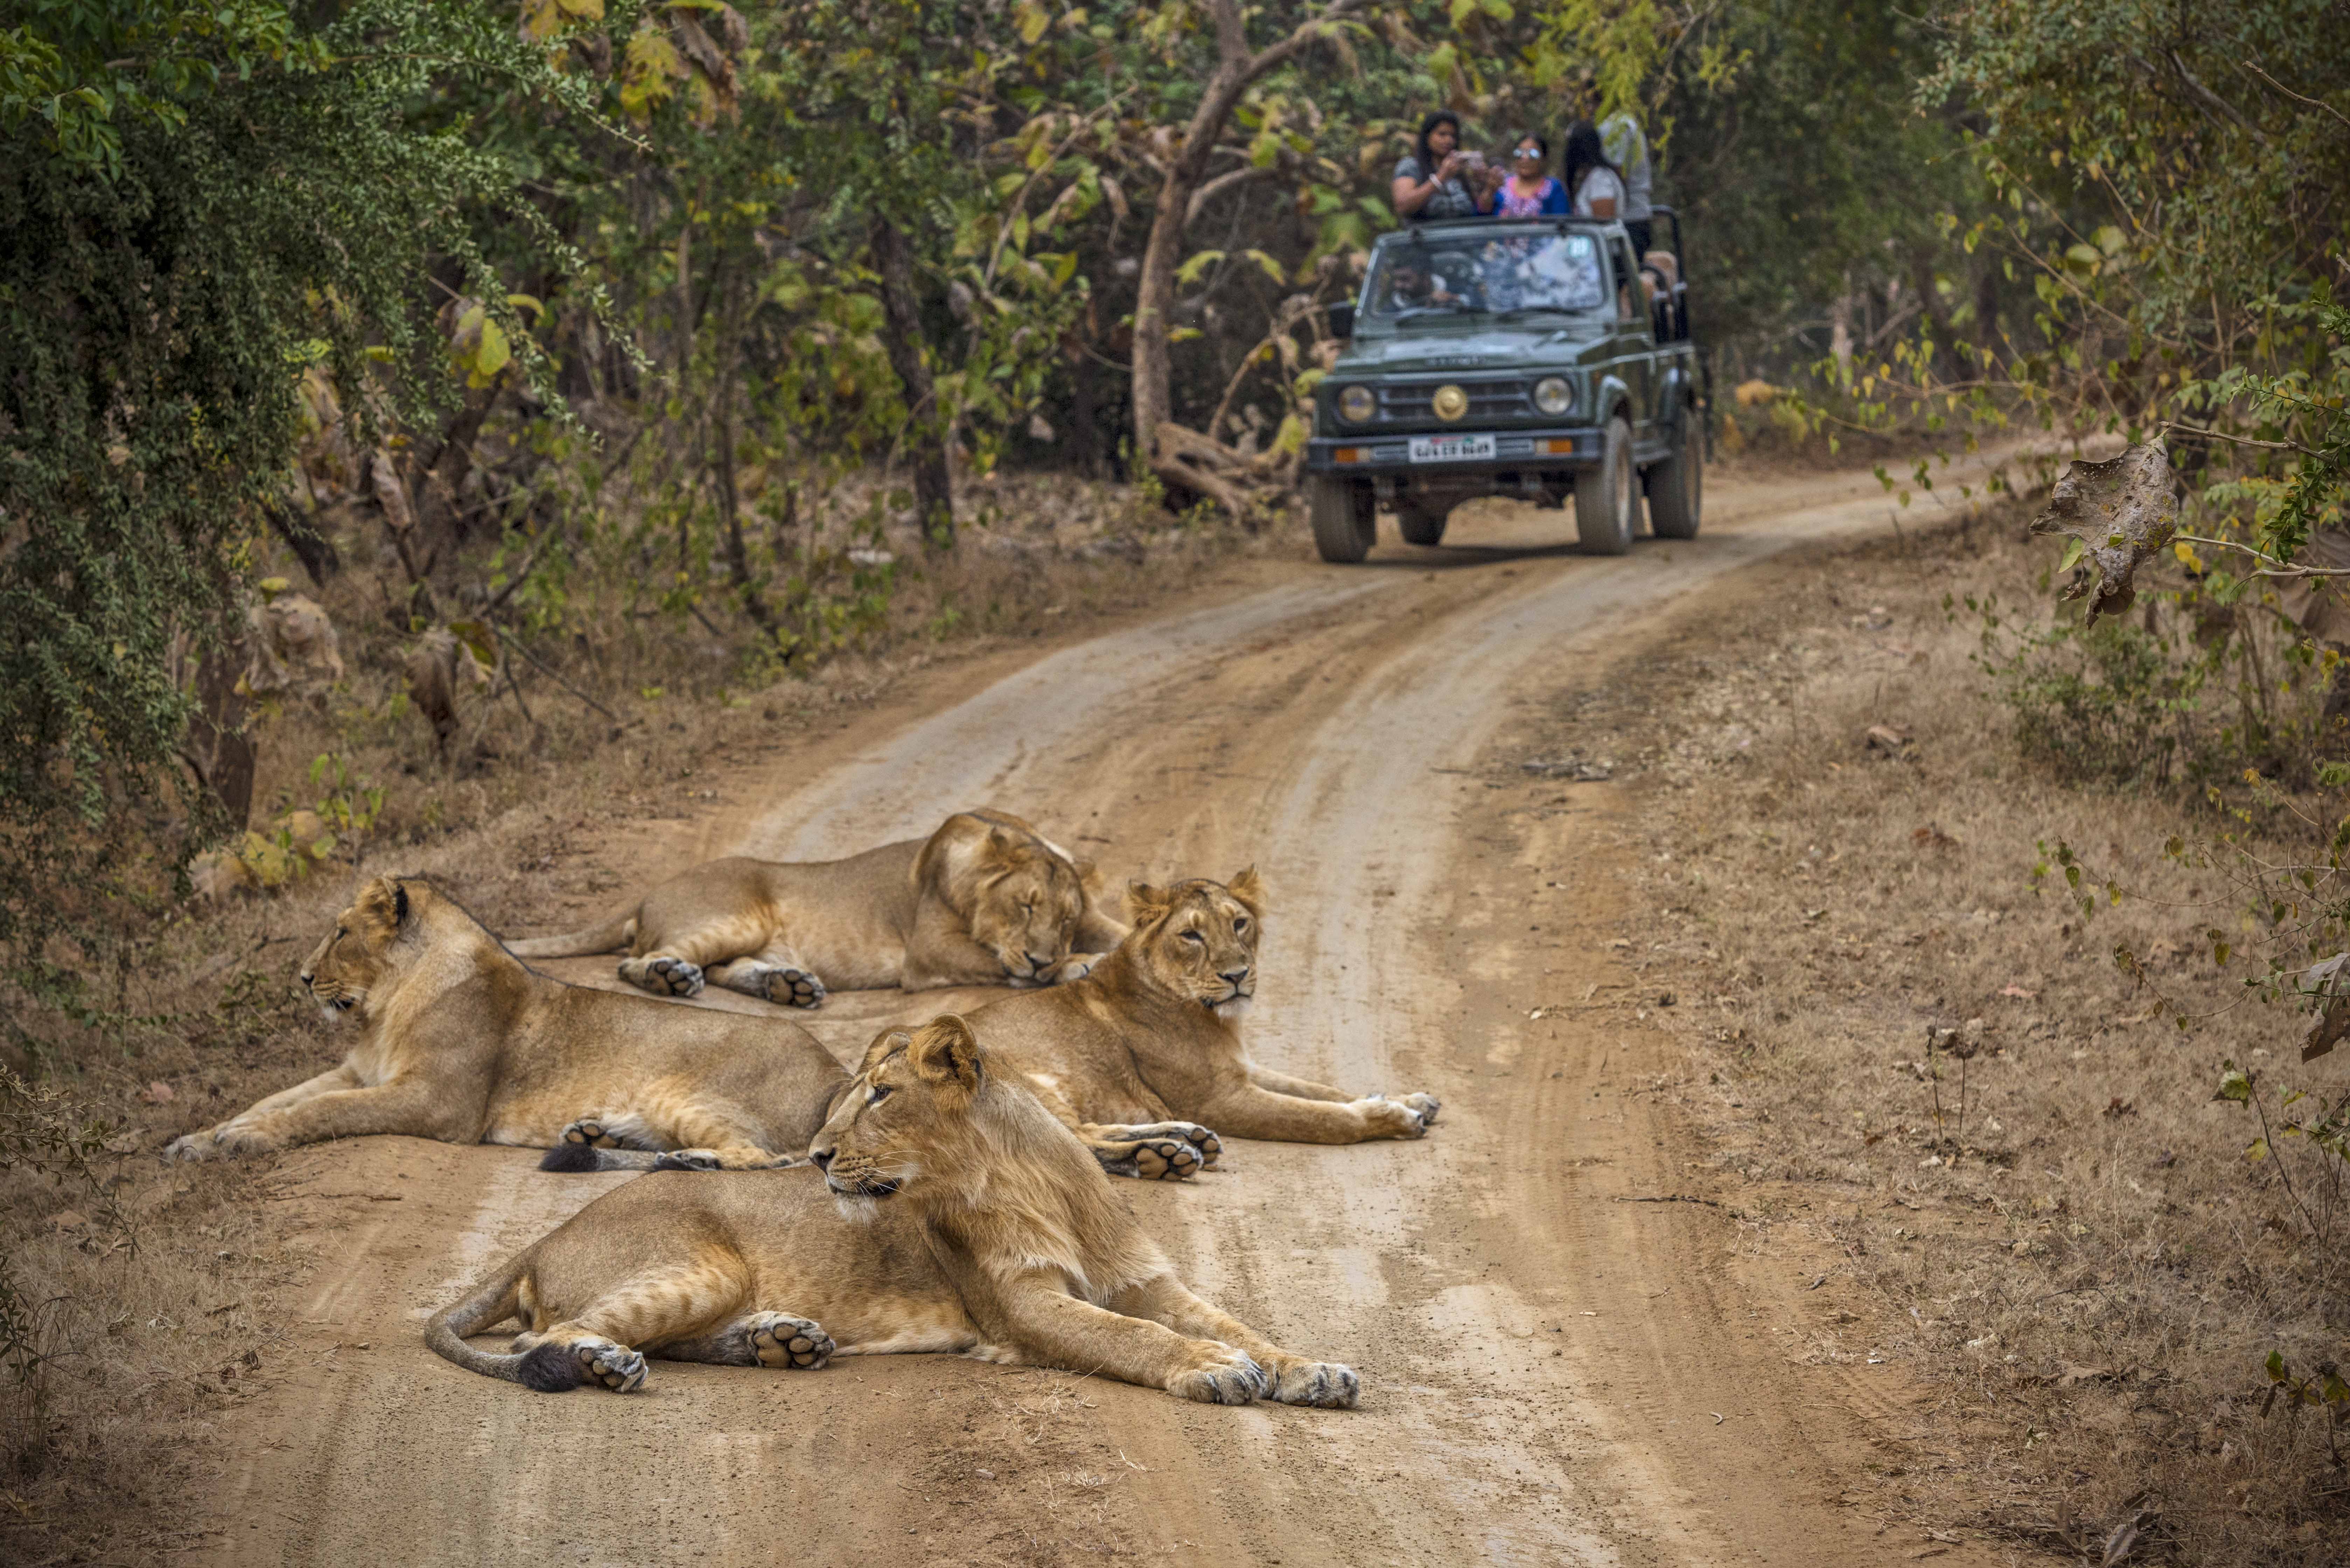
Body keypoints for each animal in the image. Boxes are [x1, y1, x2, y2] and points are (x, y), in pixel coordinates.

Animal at [166, 879, 850, 1171]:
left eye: (340, 932)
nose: (304, 978)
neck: (387, 1006)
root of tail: (836, 1071)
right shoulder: (356, 1071)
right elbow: (272, 1098)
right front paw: (201, 1138)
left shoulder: (436, 1102)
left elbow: (318, 1111)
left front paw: (242, 1142)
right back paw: (598, 1135)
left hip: (688, 1093)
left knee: (767, 1155)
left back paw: (684, 1159)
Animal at [423, 1020, 1363, 1410]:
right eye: (850, 1095)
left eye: (879, 1095)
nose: (815, 1155)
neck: (1033, 1181)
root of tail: (543, 1236)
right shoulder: (1023, 1306)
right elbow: (1134, 1337)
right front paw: (1213, 1368)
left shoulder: (1148, 1280)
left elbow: (1239, 1323)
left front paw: (1311, 1370)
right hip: (697, 1264)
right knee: (540, 1336)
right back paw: (611, 1364)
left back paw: (779, 1342)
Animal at [500, 804, 1123, 1011]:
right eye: (1025, 906)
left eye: (1065, 919)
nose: (1044, 957)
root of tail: (646, 893)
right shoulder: (927, 954)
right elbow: (1002, 963)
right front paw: (1074, 966)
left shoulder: (1095, 916)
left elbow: (1122, 930)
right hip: (734, 913)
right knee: (638, 961)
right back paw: (672, 978)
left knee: (722, 968)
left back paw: (789, 986)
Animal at [963, 870, 1438, 1175]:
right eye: (1190, 935)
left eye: (1240, 923)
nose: (1237, 975)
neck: (1215, 1020)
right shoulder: (1219, 1099)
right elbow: (1320, 1117)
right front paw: (1392, 1118)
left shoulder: (1242, 1069)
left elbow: (1324, 1091)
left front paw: (1409, 1099)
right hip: (1023, 1081)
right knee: (1075, 1142)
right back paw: (1162, 1158)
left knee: (1085, 1130)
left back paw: (1184, 1140)